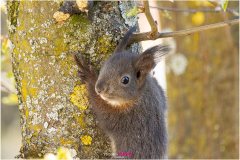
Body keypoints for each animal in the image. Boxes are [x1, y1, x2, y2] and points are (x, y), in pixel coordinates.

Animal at [74, 26, 170, 159]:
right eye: (104, 66)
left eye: (125, 80)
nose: (99, 88)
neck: (141, 94)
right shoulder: (159, 93)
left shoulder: (129, 117)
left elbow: (105, 114)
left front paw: (89, 76)